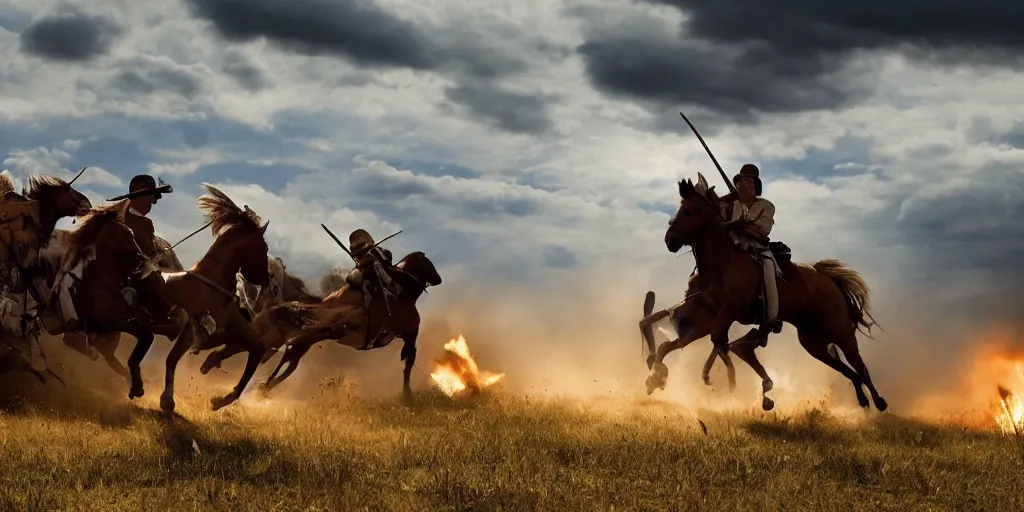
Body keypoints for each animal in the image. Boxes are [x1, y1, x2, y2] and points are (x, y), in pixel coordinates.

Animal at [638, 175, 888, 411]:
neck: (722, 265)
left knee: (859, 366)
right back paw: (862, 397)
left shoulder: (726, 313)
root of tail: (827, 278)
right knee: (847, 370)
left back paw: (878, 400)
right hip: (814, 343)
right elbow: (675, 344)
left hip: (842, 333)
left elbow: (720, 342)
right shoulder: (705, 318)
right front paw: (656, 376)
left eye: (690, 211)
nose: (670, 240)